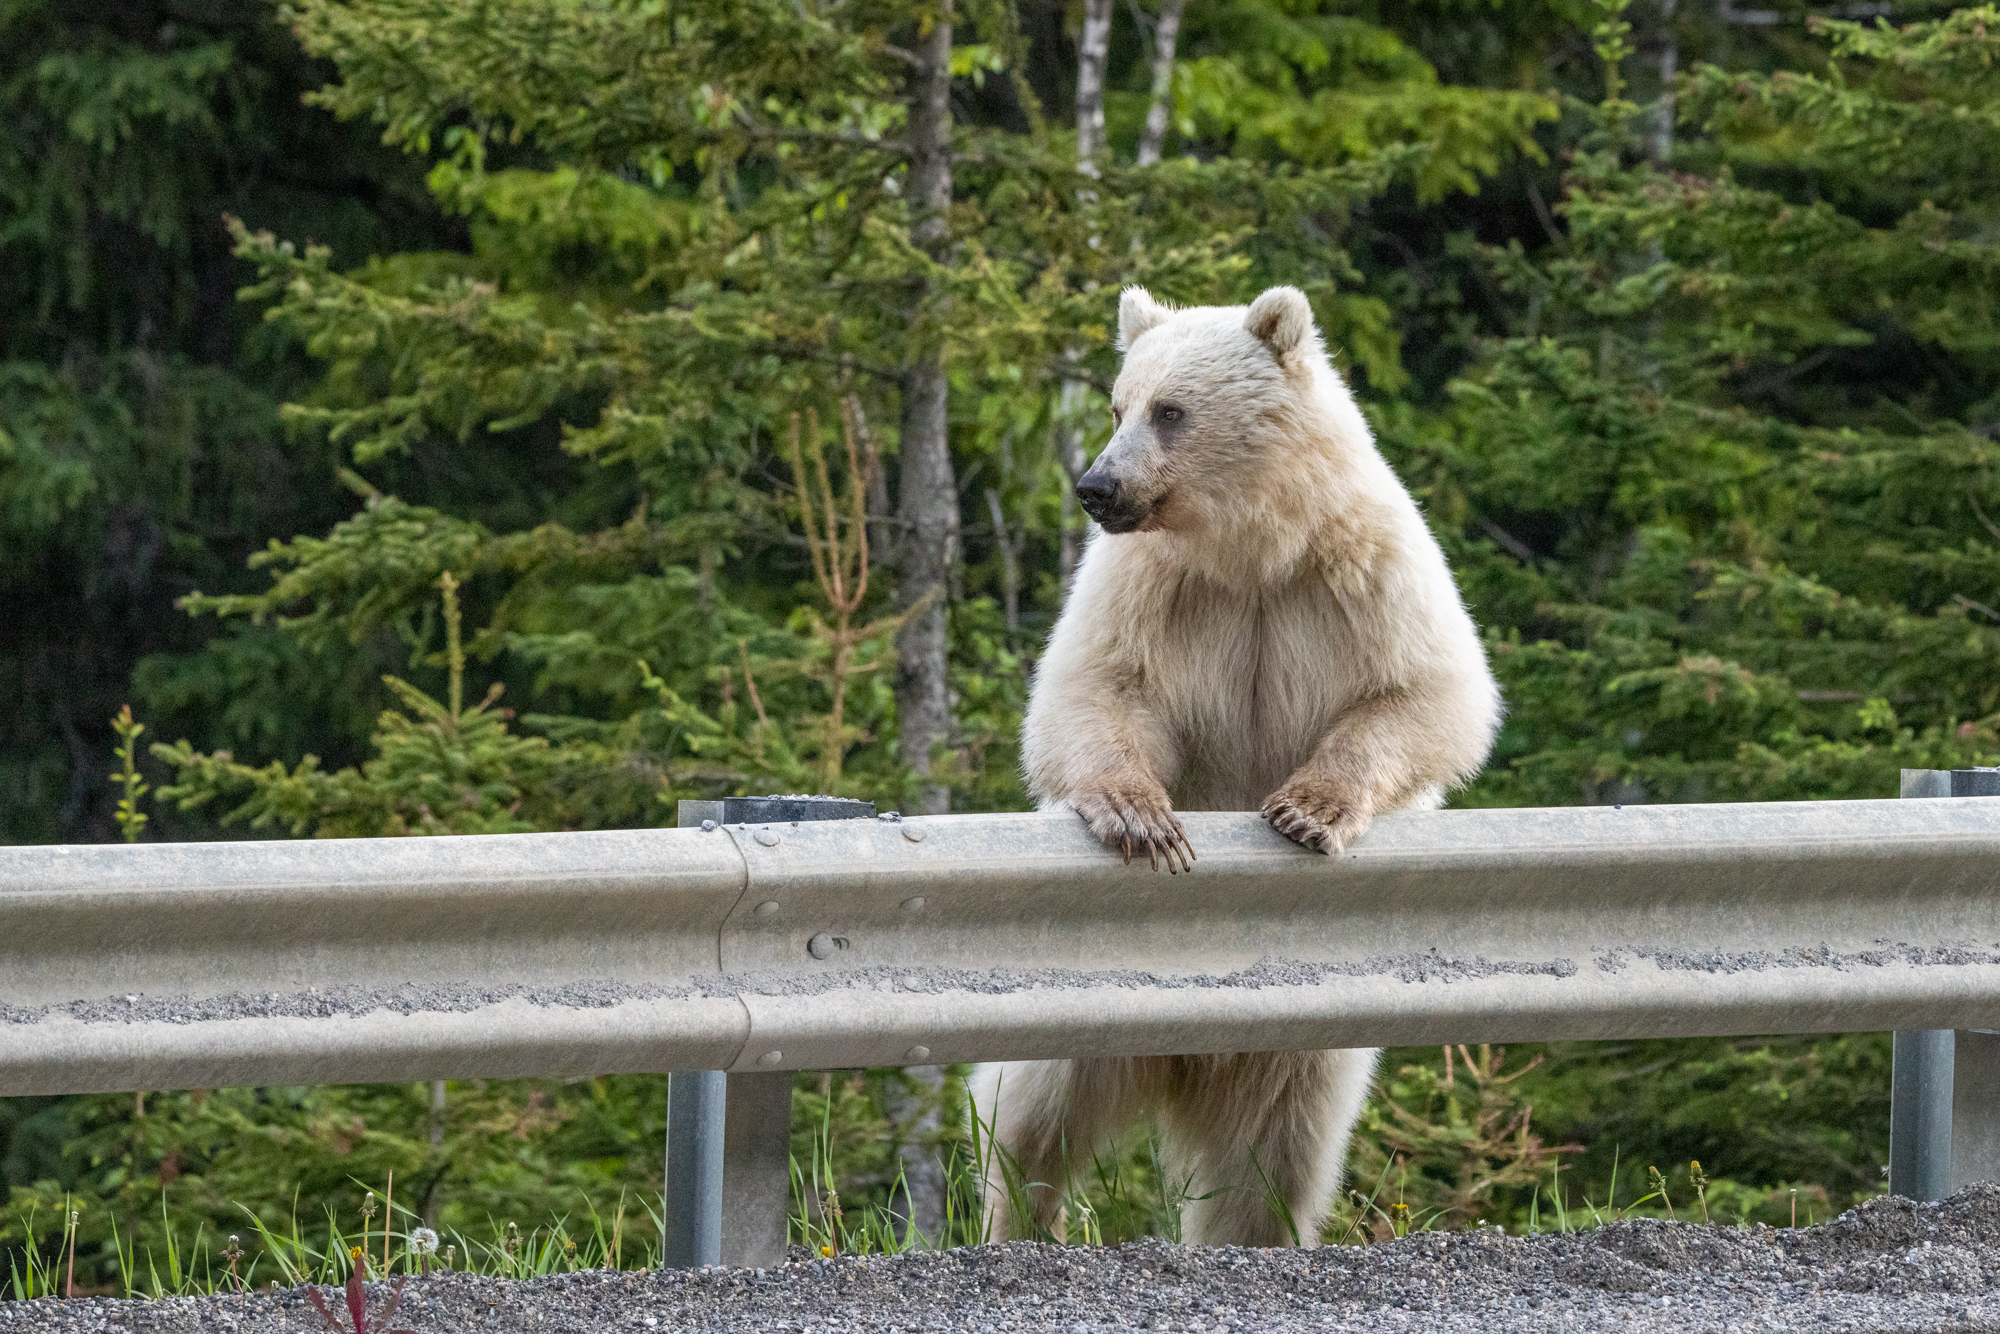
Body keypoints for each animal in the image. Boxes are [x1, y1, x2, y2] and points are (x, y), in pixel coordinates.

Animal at [968, 284, 1504, 1256]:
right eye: (1117, 405)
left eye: (1171, 411)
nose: (1097, 486)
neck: (1253, 547)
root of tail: (1190, 1051)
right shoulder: (1151, 585)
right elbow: (1093, 688)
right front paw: (1144, 819)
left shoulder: (1362, 572)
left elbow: (1430, 693)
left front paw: (1306, 810)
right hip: (1076, 992)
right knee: (1032, 1110)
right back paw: (1021, 1221)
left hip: (1306, 1047)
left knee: (1274, 1157)